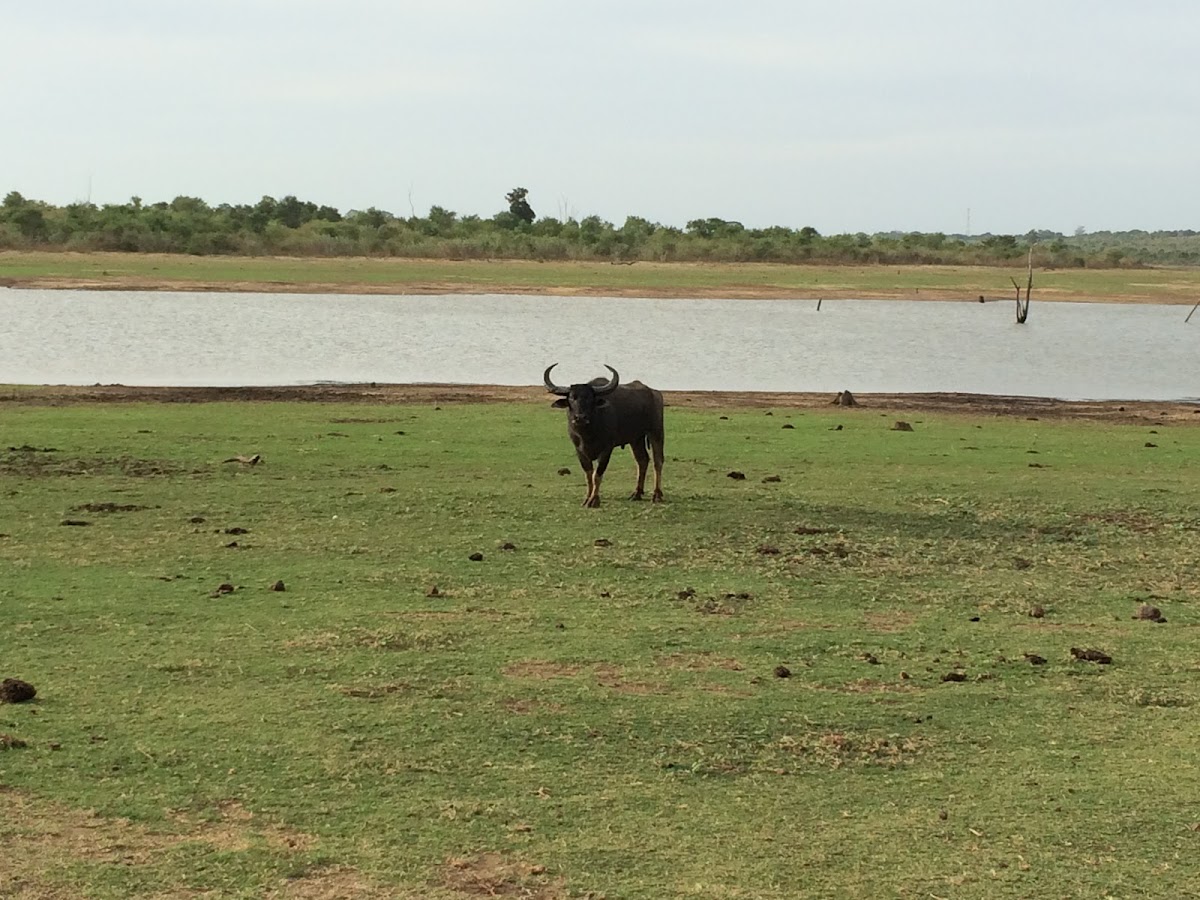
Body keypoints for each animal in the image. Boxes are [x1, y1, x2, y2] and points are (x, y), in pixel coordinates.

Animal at [547, 364, 667, 508]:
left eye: (590, 399)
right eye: (572, 398)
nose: (580, 418)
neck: (588, 433)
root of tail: (655, 393)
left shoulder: (606, 449)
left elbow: (597, 475)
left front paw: (594, 500)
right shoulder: (579, 450)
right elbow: (588, 475)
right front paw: (587, 498)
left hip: (656, 432)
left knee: (657, 461)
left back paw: (657, 495)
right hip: (636, 439)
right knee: (642, 460)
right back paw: (636, 493)